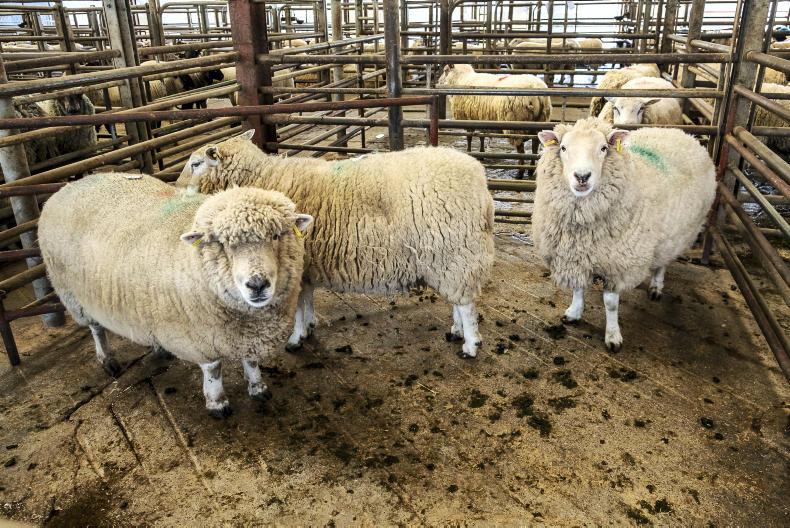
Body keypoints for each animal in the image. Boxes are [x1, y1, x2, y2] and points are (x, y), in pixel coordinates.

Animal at [38, 173, 313, 417]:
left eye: (276, 236)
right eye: (222, 243)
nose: (257, 285)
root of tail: (65, 187)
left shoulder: (245, 333)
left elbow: (252, 360)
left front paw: (257, 387)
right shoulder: (199, 336)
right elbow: (214, 370)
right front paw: (217, 403)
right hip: (74, 294)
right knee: (95, 328)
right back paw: (107, 360)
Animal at [177, 130, 495, 359]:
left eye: (196, 163)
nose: (177, 188)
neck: (264, 180)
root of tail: (482, 183)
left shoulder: (292, 266)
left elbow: (297, 309)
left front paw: (295, 339)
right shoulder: (304, 267)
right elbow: (306, 302)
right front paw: (307, 328)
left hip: (455, 251)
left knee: (466, 304)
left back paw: (470, 345)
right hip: (449, 258)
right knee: (458, 300)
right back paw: (456, 331)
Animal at [532, 118, 716, 351]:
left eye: (603, 148)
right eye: (563, 148)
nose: (582, 177)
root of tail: (678, 132)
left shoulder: (618, 264)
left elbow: (611, 304)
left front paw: (613, 336)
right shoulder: (576, 258)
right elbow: (578, 289)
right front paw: (574, 313)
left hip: (676, 235)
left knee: (663, 263)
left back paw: (656, 287)